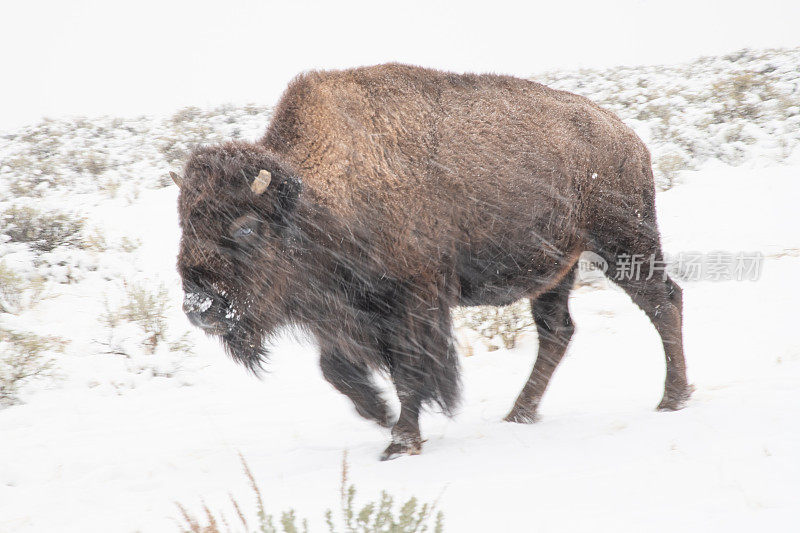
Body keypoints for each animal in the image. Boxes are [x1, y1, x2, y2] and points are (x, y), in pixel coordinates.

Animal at [172, 64, 692, 460]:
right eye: (183, 223)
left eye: (244, 228)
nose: (200, 308)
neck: (315, 200)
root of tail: (628, 137)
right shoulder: (335, 313)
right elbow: (336, 370)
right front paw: (379, 415)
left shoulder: (414, 303)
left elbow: (410, 372)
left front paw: (400, 442)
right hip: (556, 271)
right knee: (557, 332)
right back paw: (519, 414)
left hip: (624, 245)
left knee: (663, 302)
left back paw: (672, 399)